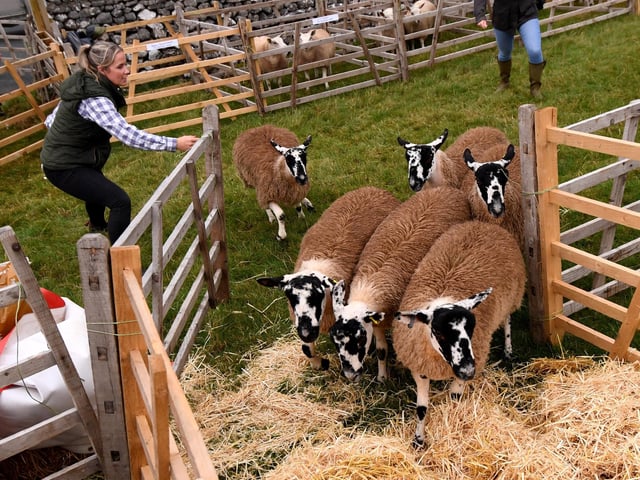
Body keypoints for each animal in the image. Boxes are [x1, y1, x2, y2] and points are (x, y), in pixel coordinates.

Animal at [256, 187, 401, 370]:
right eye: (289, 297)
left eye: (319, 295)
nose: (306, 332)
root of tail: (372, 188)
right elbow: (306, 349)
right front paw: (320, 364)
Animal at [329, 185, 471, 383]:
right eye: (335, 342)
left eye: (360, 339)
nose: (350, 375)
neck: (373, 281)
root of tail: (446, 188)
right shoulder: (378, 321)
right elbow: (381, 350)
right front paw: (382, 377)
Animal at [393, 220, 526, 447]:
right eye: (437, 332)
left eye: (472, 327)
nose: (468, 371)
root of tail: (483, 223)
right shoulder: (420, 368)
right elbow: (421, 409)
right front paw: (418, 439)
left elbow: (454, 399)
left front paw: (454, 426)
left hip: (512, 294)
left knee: (507, 319)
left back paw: (508, 350)